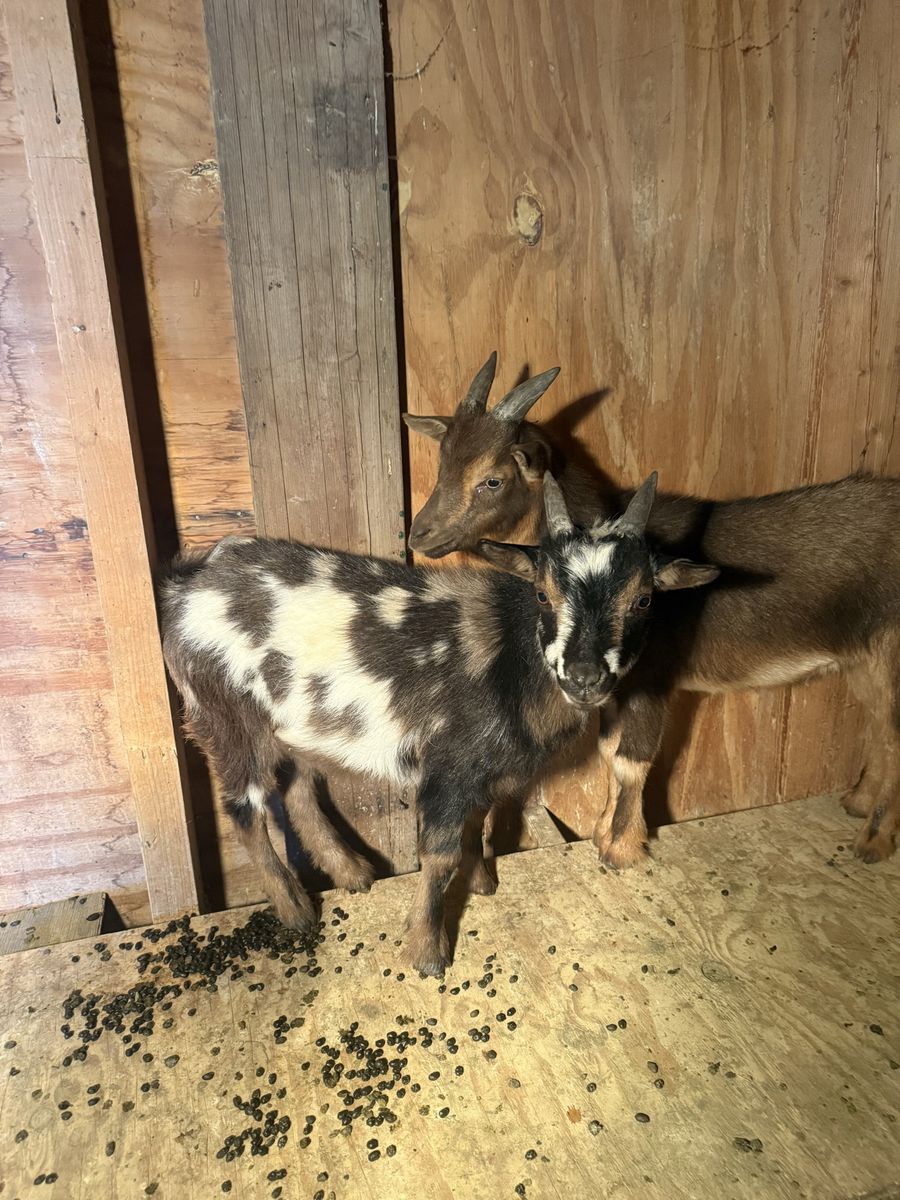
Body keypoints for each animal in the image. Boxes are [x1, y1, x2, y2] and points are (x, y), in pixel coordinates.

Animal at [160, 475, 712, 975]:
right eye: (541, 594)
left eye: (644, 599)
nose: (583, 675)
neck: (513, 658)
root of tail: (185, 586)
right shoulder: (448, 766)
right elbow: (441, 854)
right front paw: (427, 951)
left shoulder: (485, 773)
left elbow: (481, 823)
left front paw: (482, 883)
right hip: (228, 718)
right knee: (244, 808)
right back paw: (295, 909)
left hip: (295, 728)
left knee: (297, 790)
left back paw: (352, 873)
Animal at [404, 352, 900, 866]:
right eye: (443, 465)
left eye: (493, 479)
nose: (419, 534)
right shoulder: (612, 686)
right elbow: (607, 750)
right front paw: (602, 830)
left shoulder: (654, 677)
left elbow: (630, 760)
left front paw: (621, 848)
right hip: (863, 660)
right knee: (882, 733)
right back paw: (857, 802)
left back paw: (874, 840)